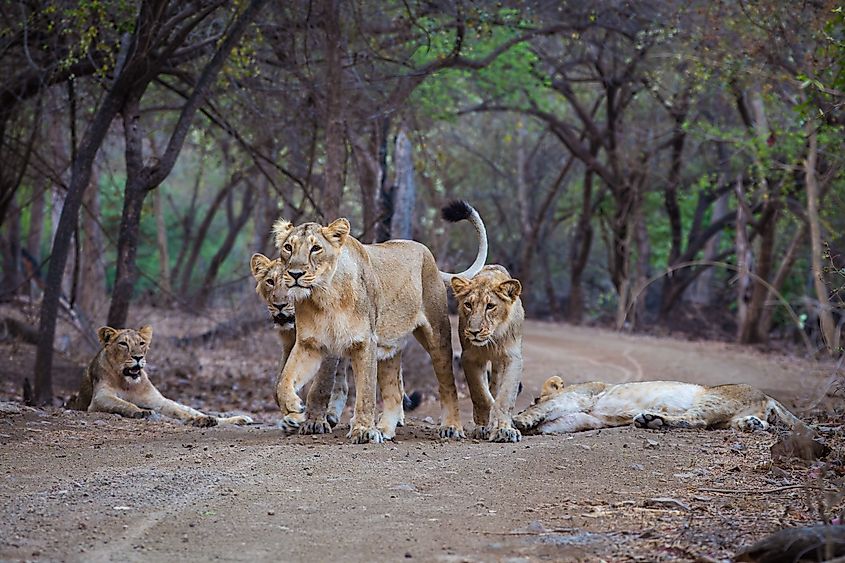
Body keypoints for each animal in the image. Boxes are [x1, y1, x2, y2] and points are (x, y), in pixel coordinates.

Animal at [66, 326, 252, 427]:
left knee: (192, 410)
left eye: (141, 343)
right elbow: (124, 403)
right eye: (123, 344)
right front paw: (140, 411)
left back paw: (238, 419)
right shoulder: (99, 398)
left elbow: (179, 413)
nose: (138, 357)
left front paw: (198, 420)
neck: (128, 383)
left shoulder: (157, 401)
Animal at [272, 200, 487, 443]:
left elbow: (365, 392)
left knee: (447, 385)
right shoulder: (309, 344)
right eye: (288, 247)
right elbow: (284, 379)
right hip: (389, 348)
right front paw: (293, 407)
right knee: (394, 393)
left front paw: (363, 431)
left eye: (315, 248)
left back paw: (451, 427)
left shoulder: (365, 342)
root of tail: (425, 251)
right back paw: (384, 430)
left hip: (437, 338)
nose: (295, 274)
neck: (324, 297)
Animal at [451, 265, 525, 443]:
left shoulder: (513, 358)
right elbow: (482, 395)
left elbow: (504, 397)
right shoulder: (469, 358)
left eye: (490, 306)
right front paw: (484, 426)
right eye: (468, 304)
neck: (493, 338)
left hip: (499, 364)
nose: (474, 332)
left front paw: (505, 430)